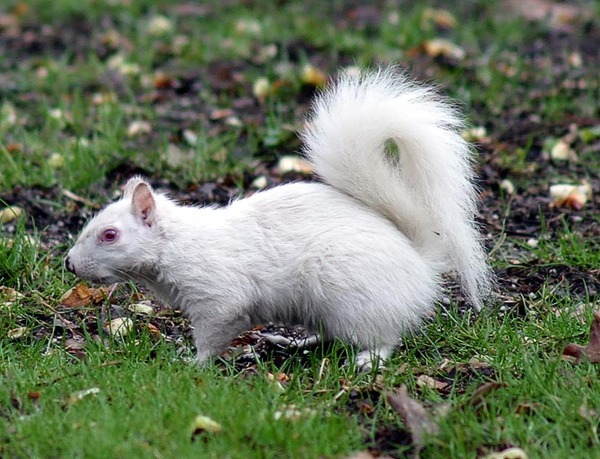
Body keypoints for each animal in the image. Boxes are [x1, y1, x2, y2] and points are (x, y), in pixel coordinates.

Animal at [65, 68, 492, 370]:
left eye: (109, 235)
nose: (69, 264)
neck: (179, 245)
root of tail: (418, 261)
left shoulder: (219, 296)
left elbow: (213, 333)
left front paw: (192, 362)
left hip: (354, 299)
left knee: (383, 337)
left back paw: (367, 358)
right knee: (330, 335)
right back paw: (293, 342)